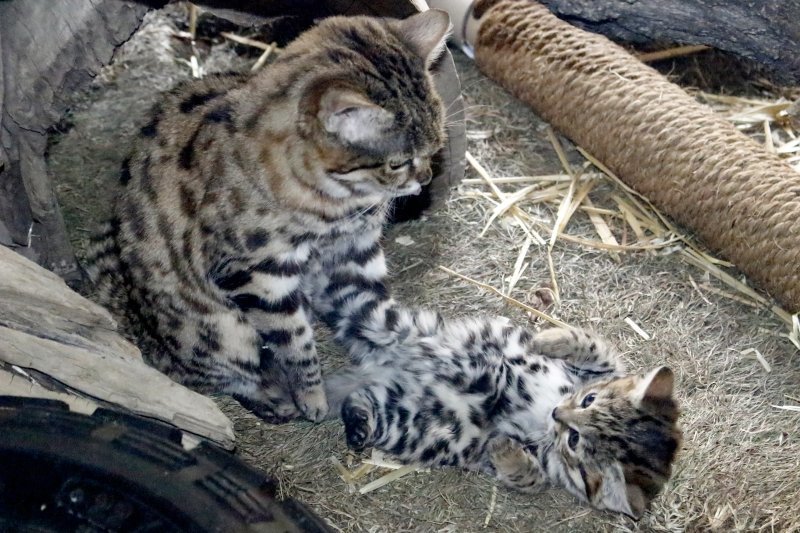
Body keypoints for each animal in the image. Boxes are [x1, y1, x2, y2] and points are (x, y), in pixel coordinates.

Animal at [86, 10, 454, 422]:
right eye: (397, 163)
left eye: (436, 147)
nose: (425, 180)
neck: (338, 202)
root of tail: (140, 328)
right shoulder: (255, 274)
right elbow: (294, 341)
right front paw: (312, 396)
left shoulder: (352, 253)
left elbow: (378, 315)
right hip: (223, 331)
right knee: (215, 375)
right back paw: (274, 397)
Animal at [326, 314, 680, 516]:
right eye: (587, 400)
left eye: (574, 441)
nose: (556, 413)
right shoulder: (606, 367)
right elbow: (591, 342)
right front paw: (547, 338)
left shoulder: (548, 468)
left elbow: (533, 479)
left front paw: (504, 450)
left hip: (407, 422)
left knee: (361, 400)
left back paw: (358, 425)